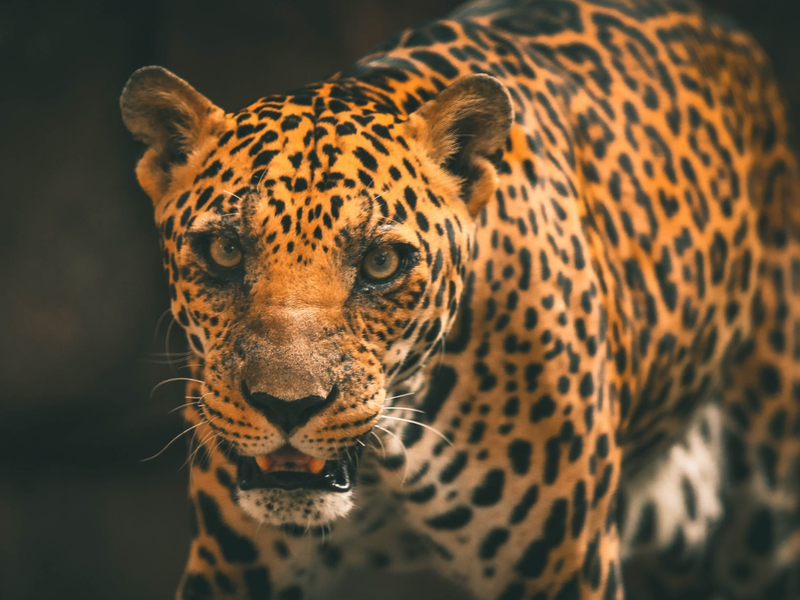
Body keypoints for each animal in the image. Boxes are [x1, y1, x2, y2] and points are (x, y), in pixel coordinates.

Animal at [120, 0, 800, 598]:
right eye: (225, 251)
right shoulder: (233, 568)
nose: (288, 408)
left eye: (381, 263)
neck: (390, 453)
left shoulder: (568, 566)